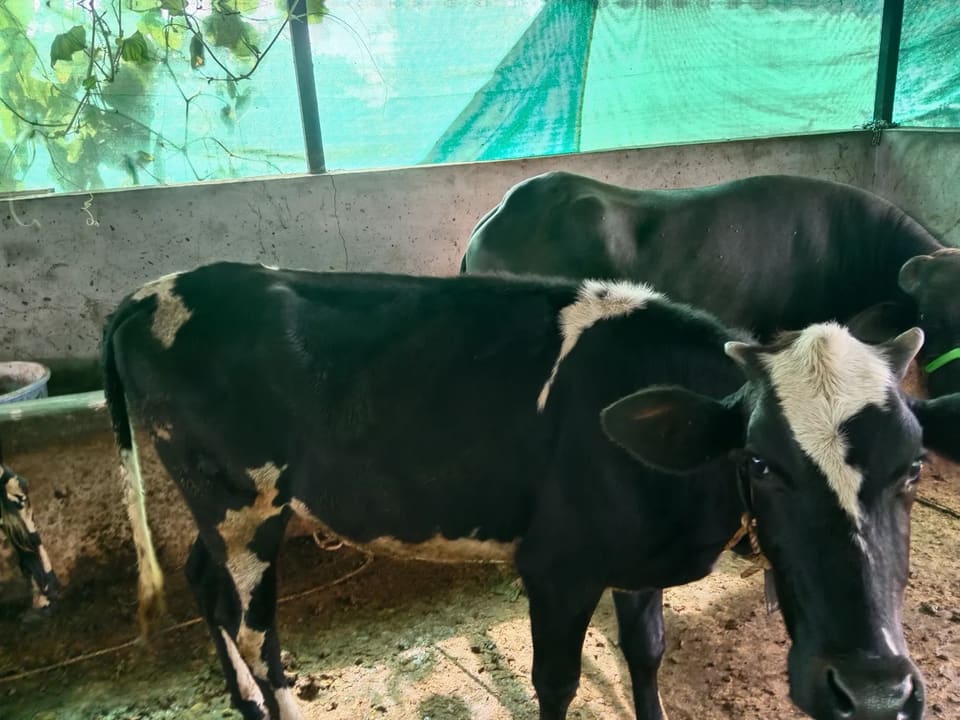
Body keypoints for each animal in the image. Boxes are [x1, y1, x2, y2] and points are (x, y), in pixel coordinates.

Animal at [101, 262, 960, 720]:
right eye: (761, 464)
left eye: (914, 468)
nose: (874, 692)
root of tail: (152, 290)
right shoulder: (556, 568)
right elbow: (558, 681)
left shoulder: (634, 564)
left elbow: (647, 654)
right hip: (236, 497)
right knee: (241, 612)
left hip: (240, 505)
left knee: (209, 584)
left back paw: (259, 690)